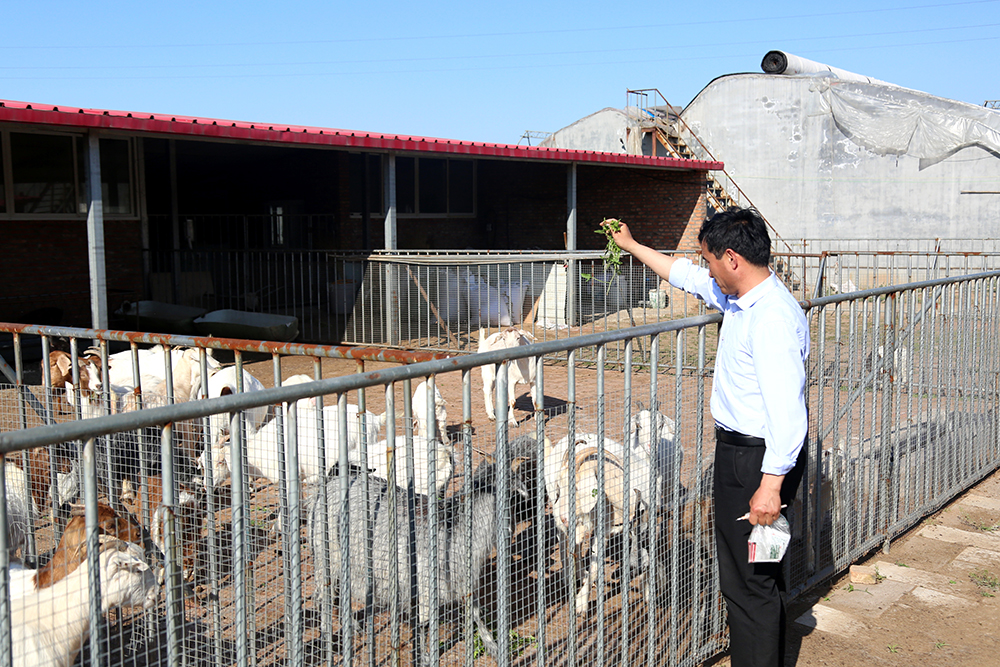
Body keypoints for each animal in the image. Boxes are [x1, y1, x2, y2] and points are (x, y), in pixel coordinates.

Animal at [306, 444, 538, 665]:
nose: (510, 530)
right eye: (511, 495)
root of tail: (328, 485)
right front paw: (425, 657)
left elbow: (475, 613)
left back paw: (351, 625)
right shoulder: (425, 587)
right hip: (327, 552)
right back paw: (329, 637)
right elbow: (425, 625)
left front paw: (493, 647)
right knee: (324, 595)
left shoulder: (463, 581)